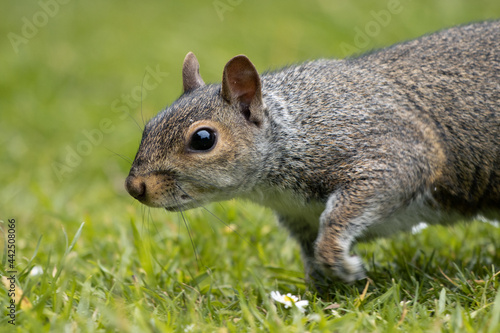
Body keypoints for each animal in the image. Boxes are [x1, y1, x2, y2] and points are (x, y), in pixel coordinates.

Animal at [125, 20, 500, 286]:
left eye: (203, 139)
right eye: (149, 127)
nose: (134, 187)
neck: (293, 130)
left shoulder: (391, 151)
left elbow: (350, 210)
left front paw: (341, 264)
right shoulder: (298, 216)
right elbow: (309, 252)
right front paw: (320, 288)